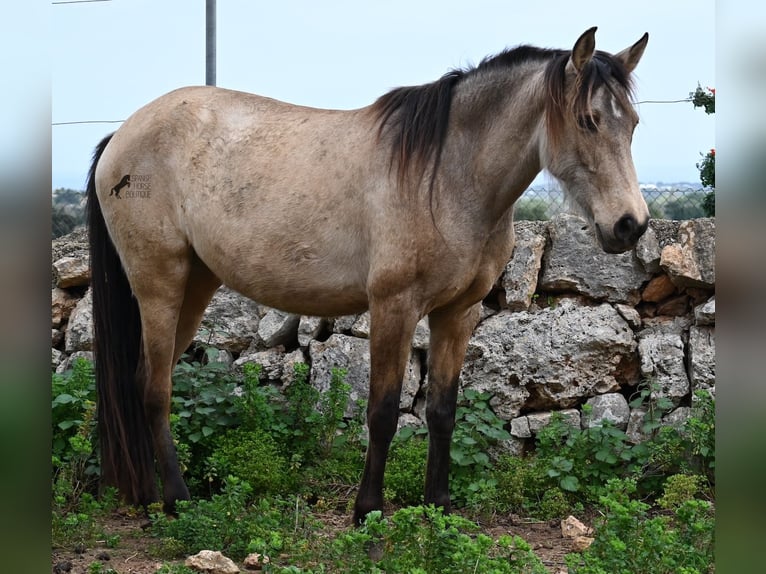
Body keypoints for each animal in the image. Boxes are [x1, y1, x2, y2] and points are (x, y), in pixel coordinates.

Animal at [87, 28, 652, 528]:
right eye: (587, 120)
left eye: (633, 124)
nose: (630, 225)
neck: (446, 178)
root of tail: (122, 135)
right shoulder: (393, 307)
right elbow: (382, 413)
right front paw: (368, 513)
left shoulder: (457, 314)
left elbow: (442, 411)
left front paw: (439, 508)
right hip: (160, 282)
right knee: (154, 388)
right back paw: (175, 501)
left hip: (196, 285)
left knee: (143, 380)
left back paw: (144, 496)